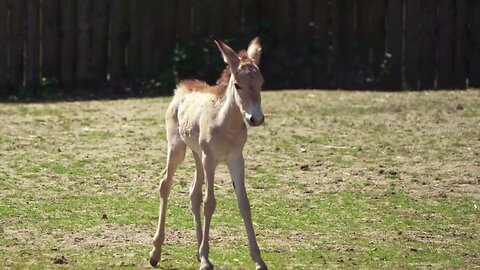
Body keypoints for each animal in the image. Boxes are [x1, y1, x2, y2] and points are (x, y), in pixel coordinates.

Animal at [150, 37, 268, 270]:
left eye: (261, 83)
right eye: (237, 84)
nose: (255, 118)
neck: (225, 124)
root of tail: (182, 87)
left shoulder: (236, 159)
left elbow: (244, 203)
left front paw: (259, 260)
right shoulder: (210, 158)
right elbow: (210, 203)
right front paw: (206, 260)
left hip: (197, 155)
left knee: (193, 193)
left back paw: (196, 251)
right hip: (178, 149)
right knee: (166, 184)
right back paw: (156, 252)